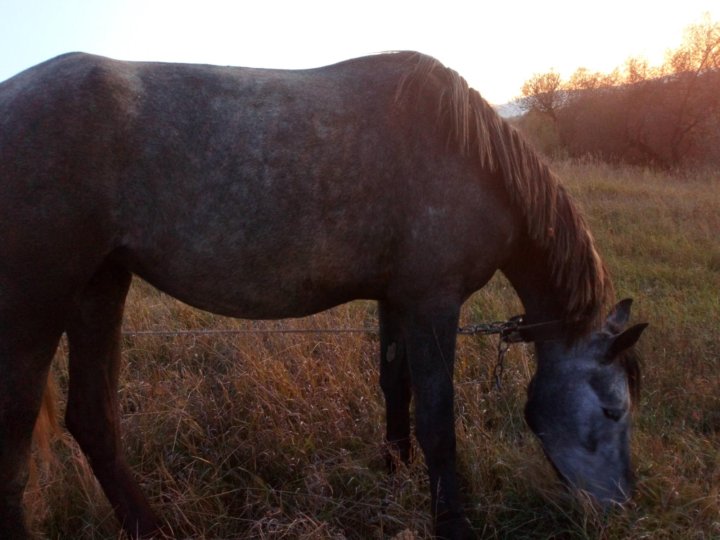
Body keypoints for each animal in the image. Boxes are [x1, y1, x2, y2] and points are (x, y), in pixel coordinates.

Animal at [0, 51, 648, 540]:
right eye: (614, 411)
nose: (621, 508)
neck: (472, 158)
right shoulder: (434, 304)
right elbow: (439, 424)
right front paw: (451, 523)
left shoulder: (398, 300)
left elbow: (396, 390)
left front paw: (392, 477)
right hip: (36, 306)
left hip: (99, 286)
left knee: (93, 419)